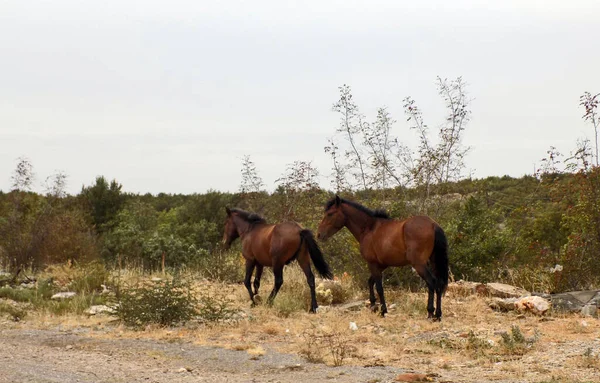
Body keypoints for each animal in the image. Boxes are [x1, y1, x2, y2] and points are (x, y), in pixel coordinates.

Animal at [316, 196, 448, 320]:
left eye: (330, 214)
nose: (319, 234)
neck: (369, 228)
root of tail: (433, 225)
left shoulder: (372, 264)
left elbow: (379, 287)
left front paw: (382, 311)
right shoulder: (382, 265)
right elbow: (371, 282)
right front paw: (373, 306)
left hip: (419, 264)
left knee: (431, 282)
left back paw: (430, 313)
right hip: (433, 261)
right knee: (439, 284)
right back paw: (438, 315)